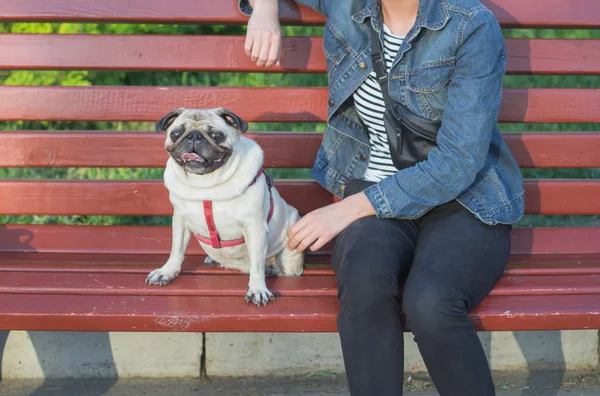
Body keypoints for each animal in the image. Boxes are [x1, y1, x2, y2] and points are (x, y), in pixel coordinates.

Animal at [146, 107, 304, 306]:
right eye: (176, 134)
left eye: (216, 135)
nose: (194, 136)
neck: (205, 186)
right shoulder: (180, 220)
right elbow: (176, 249)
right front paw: (167, 272)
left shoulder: (255, 227)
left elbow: (257, 265)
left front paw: (258, 289)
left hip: (291, 252)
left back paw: (271, 269)